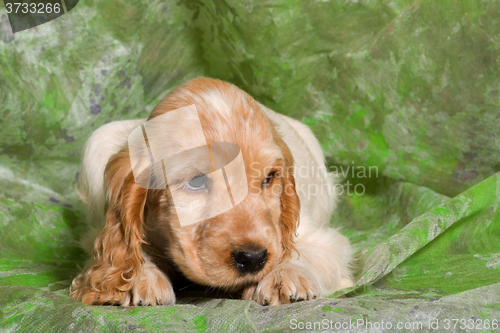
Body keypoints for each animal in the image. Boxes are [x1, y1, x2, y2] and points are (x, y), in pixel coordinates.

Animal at [70, 76, 354, 304]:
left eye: (269, 178)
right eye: (196, 181)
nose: (253, 258)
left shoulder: (322, 239)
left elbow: (302, 250)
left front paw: (284, 275)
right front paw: (136, 277)